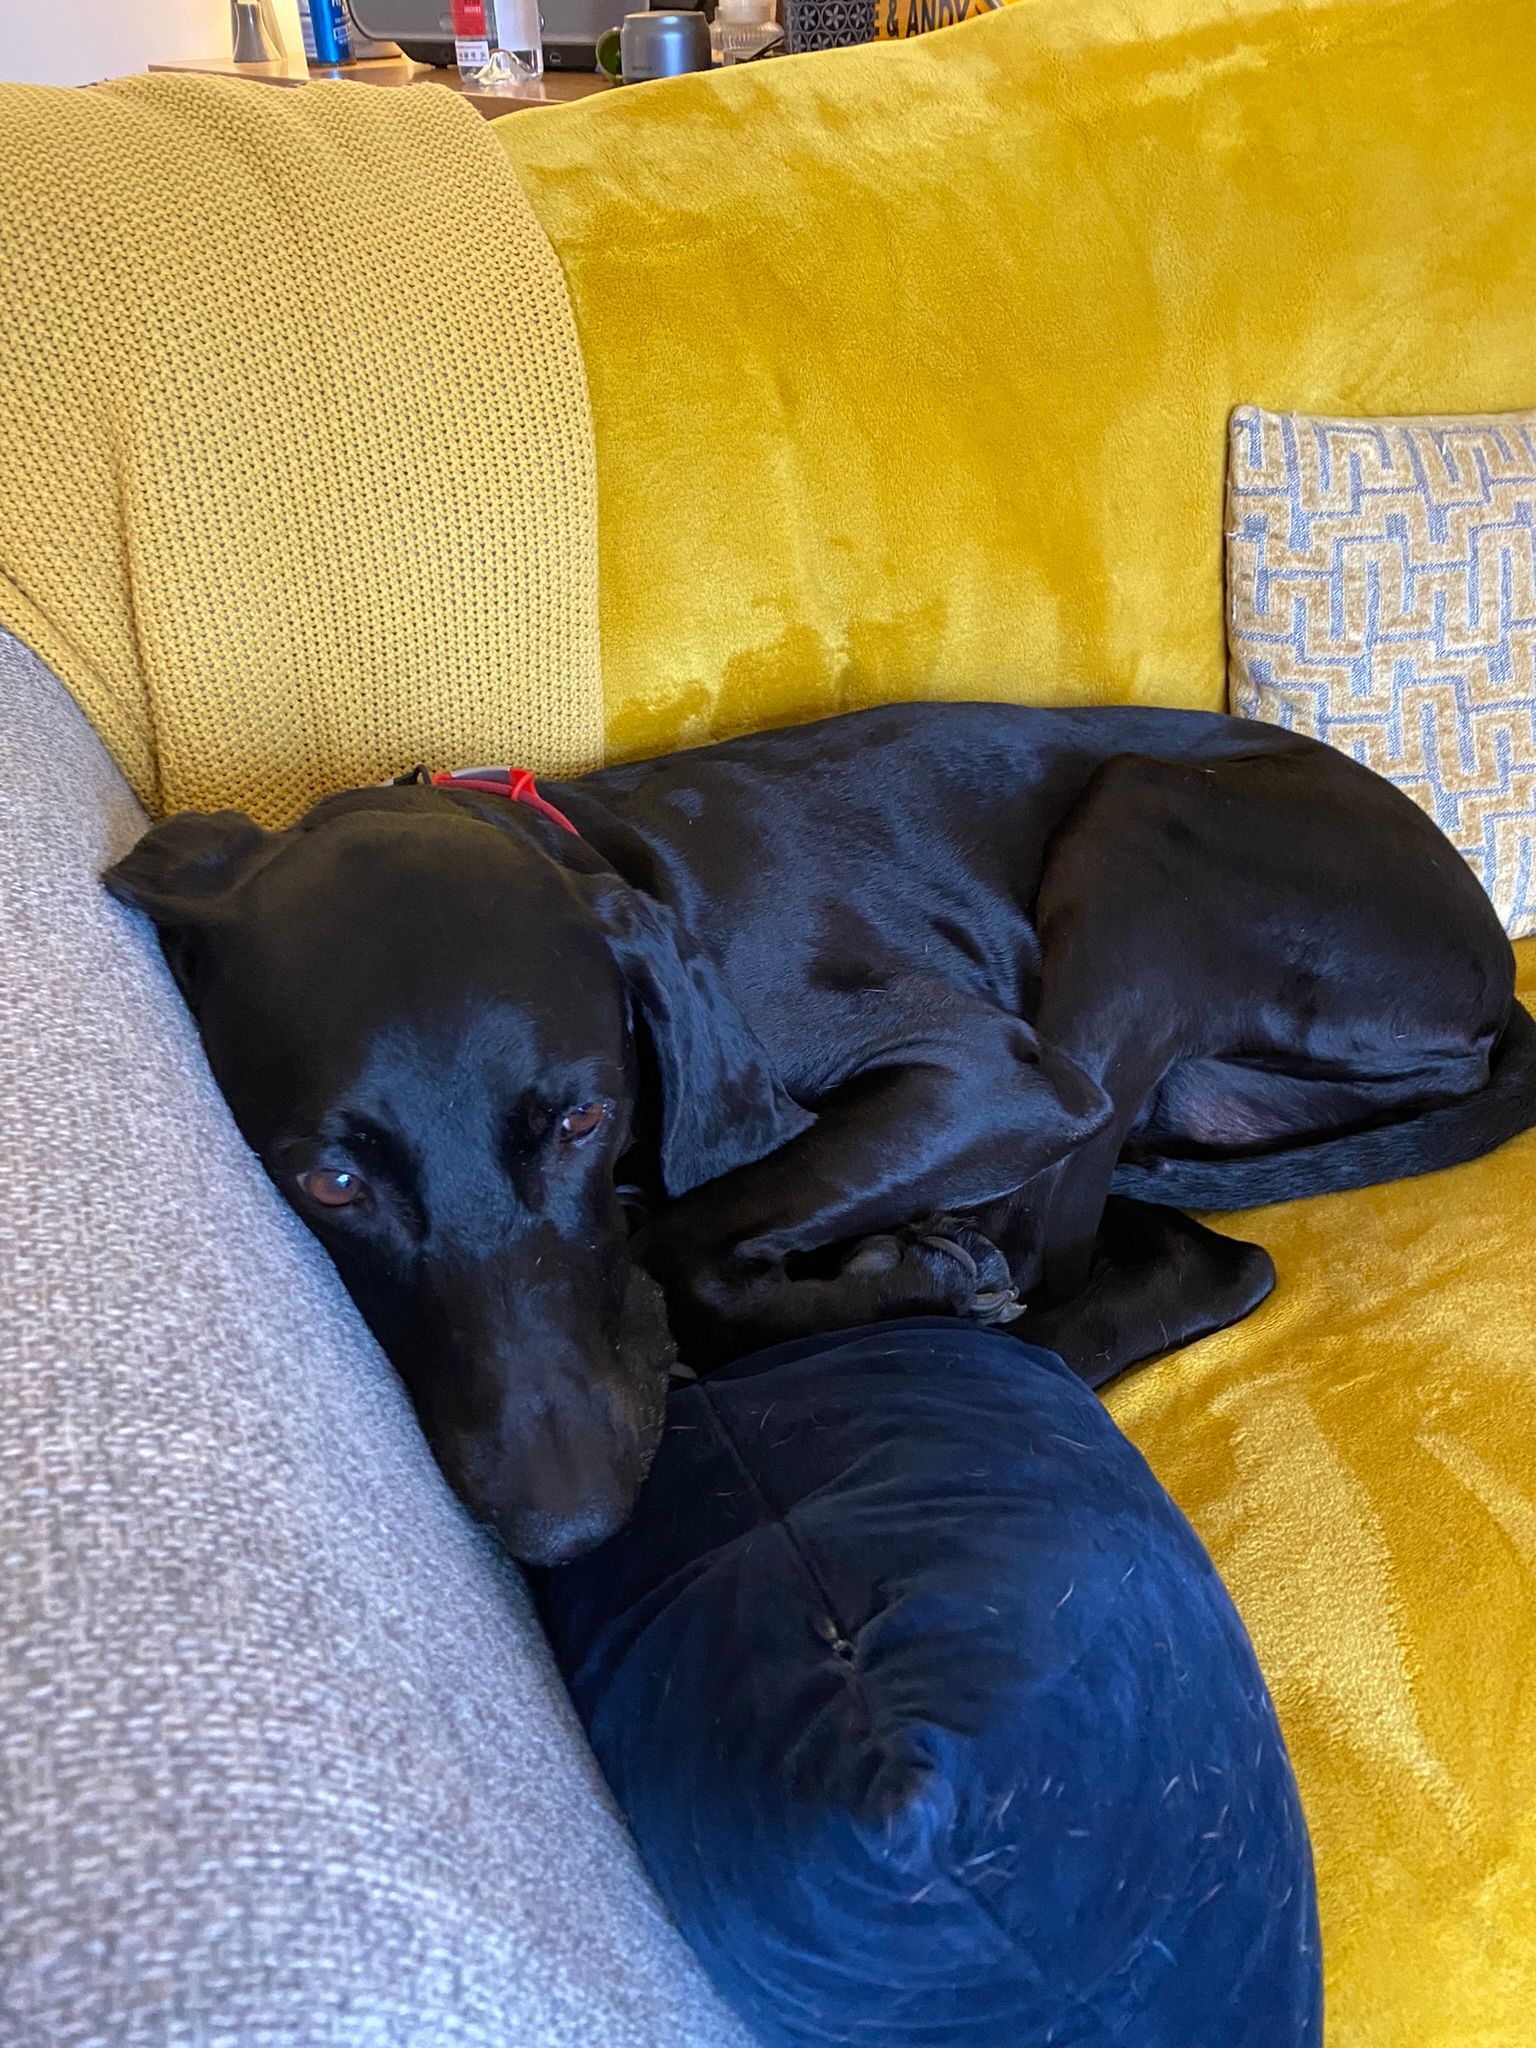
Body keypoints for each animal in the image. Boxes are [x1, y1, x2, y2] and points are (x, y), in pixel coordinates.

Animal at [106, 703, 1536, 1563]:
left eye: (583, 1116)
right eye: (330, 1180)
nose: (565, 1521)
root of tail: (1489, 957)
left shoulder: (990, 1075)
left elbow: (690, 1233)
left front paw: (885, 1280)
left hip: (1142, 832)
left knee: (1086, 1254)